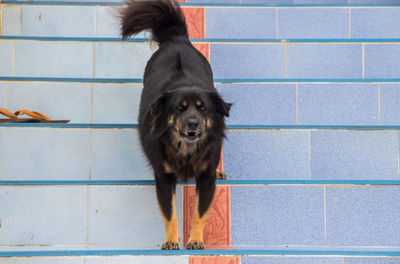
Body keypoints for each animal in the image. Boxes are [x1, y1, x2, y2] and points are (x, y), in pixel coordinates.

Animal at [120, 0, 230, 250]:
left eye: (202, 108)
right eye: (179, 108)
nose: (193, 122)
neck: (187, 150)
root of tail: (177, 39)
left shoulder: (206, 176)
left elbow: (200, 213)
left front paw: (195, 240)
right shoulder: (164, 177)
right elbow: (170, 213)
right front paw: (171, 240)